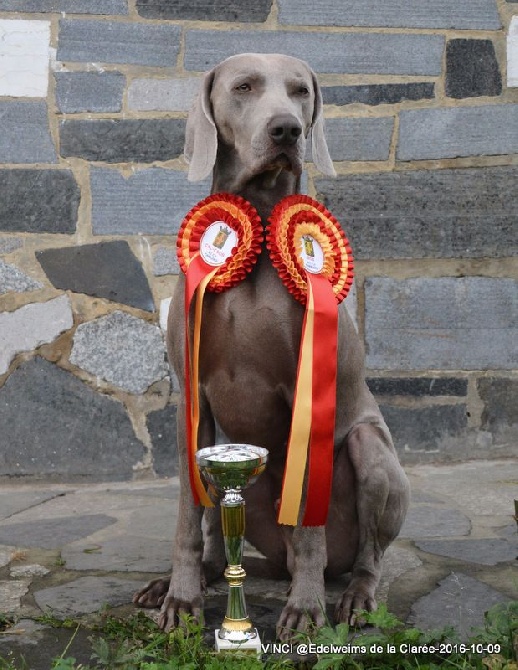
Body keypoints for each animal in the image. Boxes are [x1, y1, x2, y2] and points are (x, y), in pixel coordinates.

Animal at [136, 52, 412, 640]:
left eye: (300, 91)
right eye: (243, 87)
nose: (286, 129)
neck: (260, 227)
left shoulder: (301, 399)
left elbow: (307, 530)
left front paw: (305, 609)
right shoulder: (193, 401)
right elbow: (187, 518)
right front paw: (182, 598)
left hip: (371, 451)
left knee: (365, 555)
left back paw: (352, 596)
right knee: (218, 533)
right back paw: (184, 580)